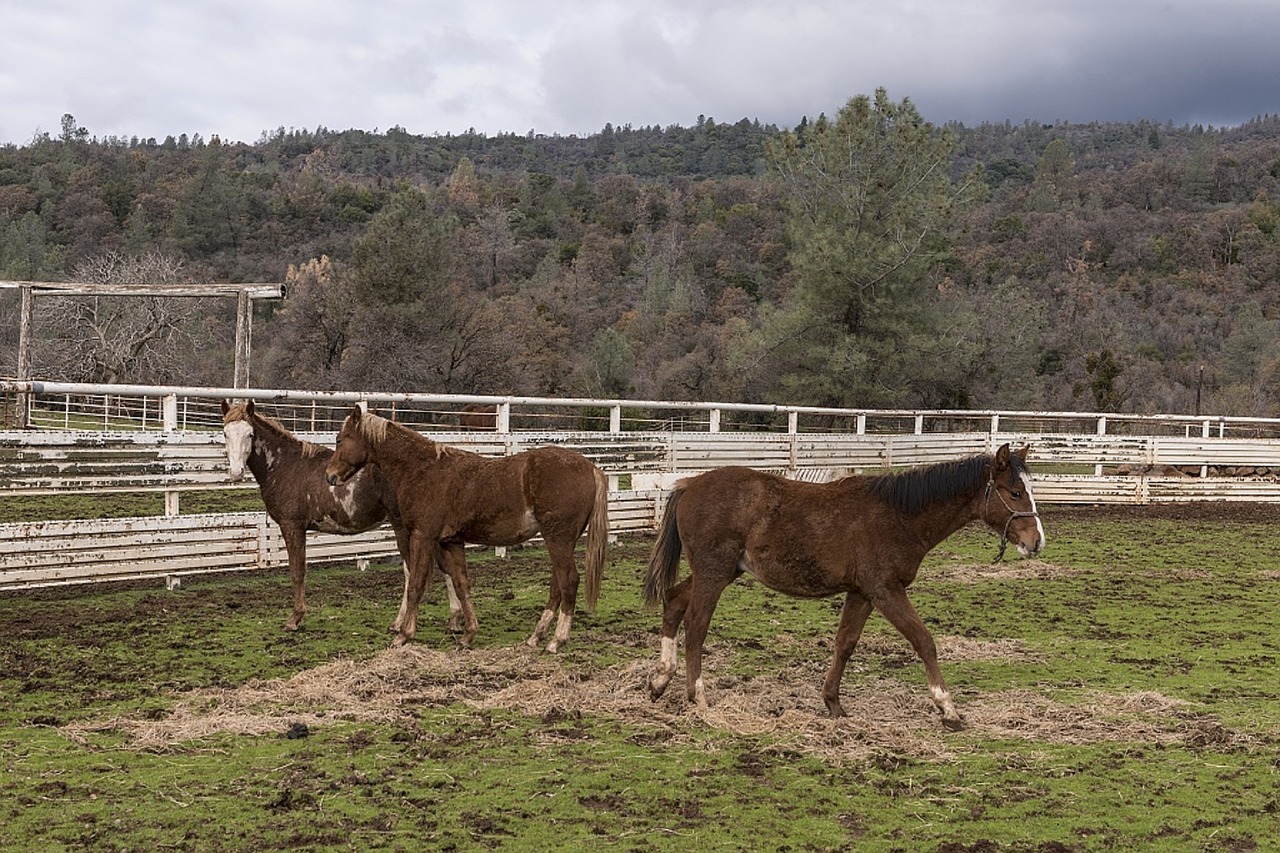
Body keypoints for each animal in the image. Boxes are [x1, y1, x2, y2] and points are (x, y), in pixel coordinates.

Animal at [221, 399, 465, 630]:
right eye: (225, 433)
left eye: (250, 434)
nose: (236, 473)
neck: (285, 466)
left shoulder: (292, 527)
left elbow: (297, 571)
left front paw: (294, 619)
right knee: (444, 567)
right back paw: (454, 618)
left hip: (403, 527)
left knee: (411, 570)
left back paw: (399, 623)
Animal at [327, 402, 611, 648]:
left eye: (340, 439)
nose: (330, 476)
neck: (422, 469)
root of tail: (591, 468)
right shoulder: (451, 542)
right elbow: (461, 584)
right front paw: (468, 633)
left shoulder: (423, 537)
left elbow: (416, 584)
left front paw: (404, 635)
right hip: (562, 541)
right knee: (557, 585)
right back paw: (536, 637)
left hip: (558, 539)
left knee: (568, 581)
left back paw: (557, 640)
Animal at [645, 440, 1044, 727]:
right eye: (1014, 493)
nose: (1036, 541)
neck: (900, 515)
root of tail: (690, 484)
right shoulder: (886, 591)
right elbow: (924, 641)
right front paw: (948, 709)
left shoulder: (861, 593)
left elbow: (845, 645)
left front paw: (833, 704)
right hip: (714, 574)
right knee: (696, 625)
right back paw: (698, 697)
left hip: (720, 572)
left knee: (674, 602)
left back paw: (660, 680)